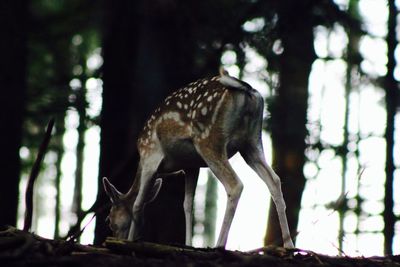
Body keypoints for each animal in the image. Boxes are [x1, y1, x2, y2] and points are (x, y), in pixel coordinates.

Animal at [103, 68, 296, 249]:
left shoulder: (150, 156)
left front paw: (128, 242)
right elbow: (187, 204)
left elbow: (138, 204)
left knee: (235, 184)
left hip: (209, 139)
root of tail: (247, 89)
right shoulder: (191, 166)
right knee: (274, 180)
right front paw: (188, 243)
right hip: (252, 142)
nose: (114, 236)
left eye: (109, 219)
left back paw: (219, 244)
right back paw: (289, 245)